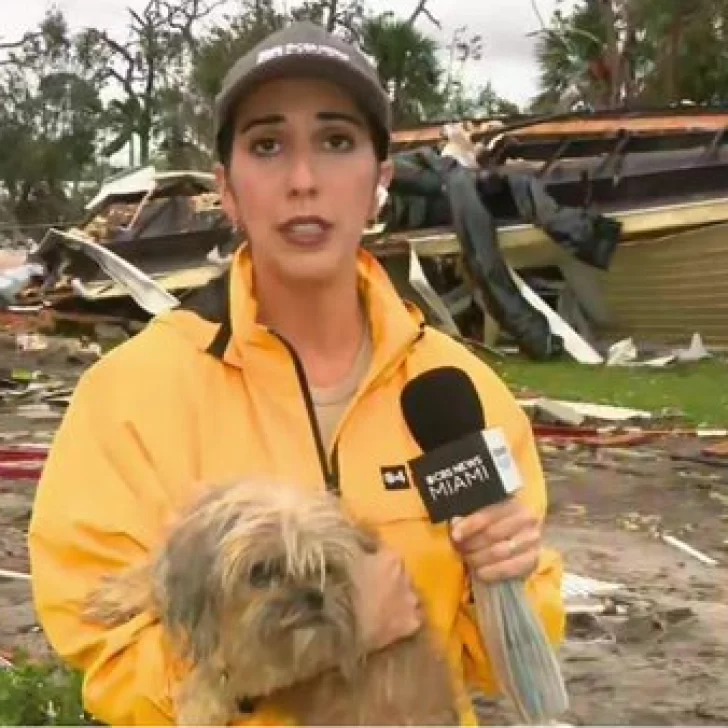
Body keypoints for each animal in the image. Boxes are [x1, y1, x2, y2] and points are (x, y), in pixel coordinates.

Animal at [84, 480, 460, 724]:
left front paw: (199, 704)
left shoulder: (274, 661)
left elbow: (222, 673)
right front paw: (124, 591)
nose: (314, 595)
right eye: (261, 572)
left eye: (326, 569)